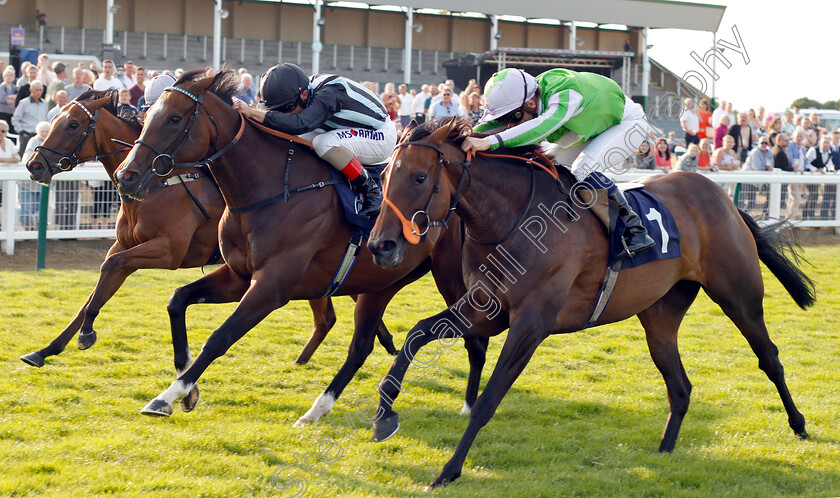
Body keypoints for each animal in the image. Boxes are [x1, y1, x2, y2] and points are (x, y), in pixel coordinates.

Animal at [18, 89, 388, 380]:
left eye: (72, 125)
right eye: (55, 119)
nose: (34, 165)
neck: (159, 184)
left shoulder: (167, 251)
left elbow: (109, 272)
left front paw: (86, 334)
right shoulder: (125, 246)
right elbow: (96, 291)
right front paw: (48, 348)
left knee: (337, 310)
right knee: (330, 315)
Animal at [111, 70, 486, 424]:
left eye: (174, 118)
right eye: (148, 115)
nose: (125, 176)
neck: (273, 188)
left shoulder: (272, 286)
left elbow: (219, 337)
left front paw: (166, 397)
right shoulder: (238, 276)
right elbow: (178, 300)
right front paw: (187, 390)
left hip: (452, 278)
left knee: (475, 336)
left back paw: (471, 406)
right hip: (380, 283)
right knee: (360, 346)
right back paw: (317, 410)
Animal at [366, 118, 812, 488]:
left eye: (420, 177)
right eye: (384, 175)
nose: (380, 246)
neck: (512, 220)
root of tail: (722, 196)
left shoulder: (531, 324)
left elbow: (488, 401)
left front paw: (448, 471)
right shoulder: (484, 313)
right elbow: (416, 334)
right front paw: (384, 416)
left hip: (739, 296)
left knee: (769, 357)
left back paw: (800, 425)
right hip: (660, 316)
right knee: (680, 385)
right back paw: (665, 451)